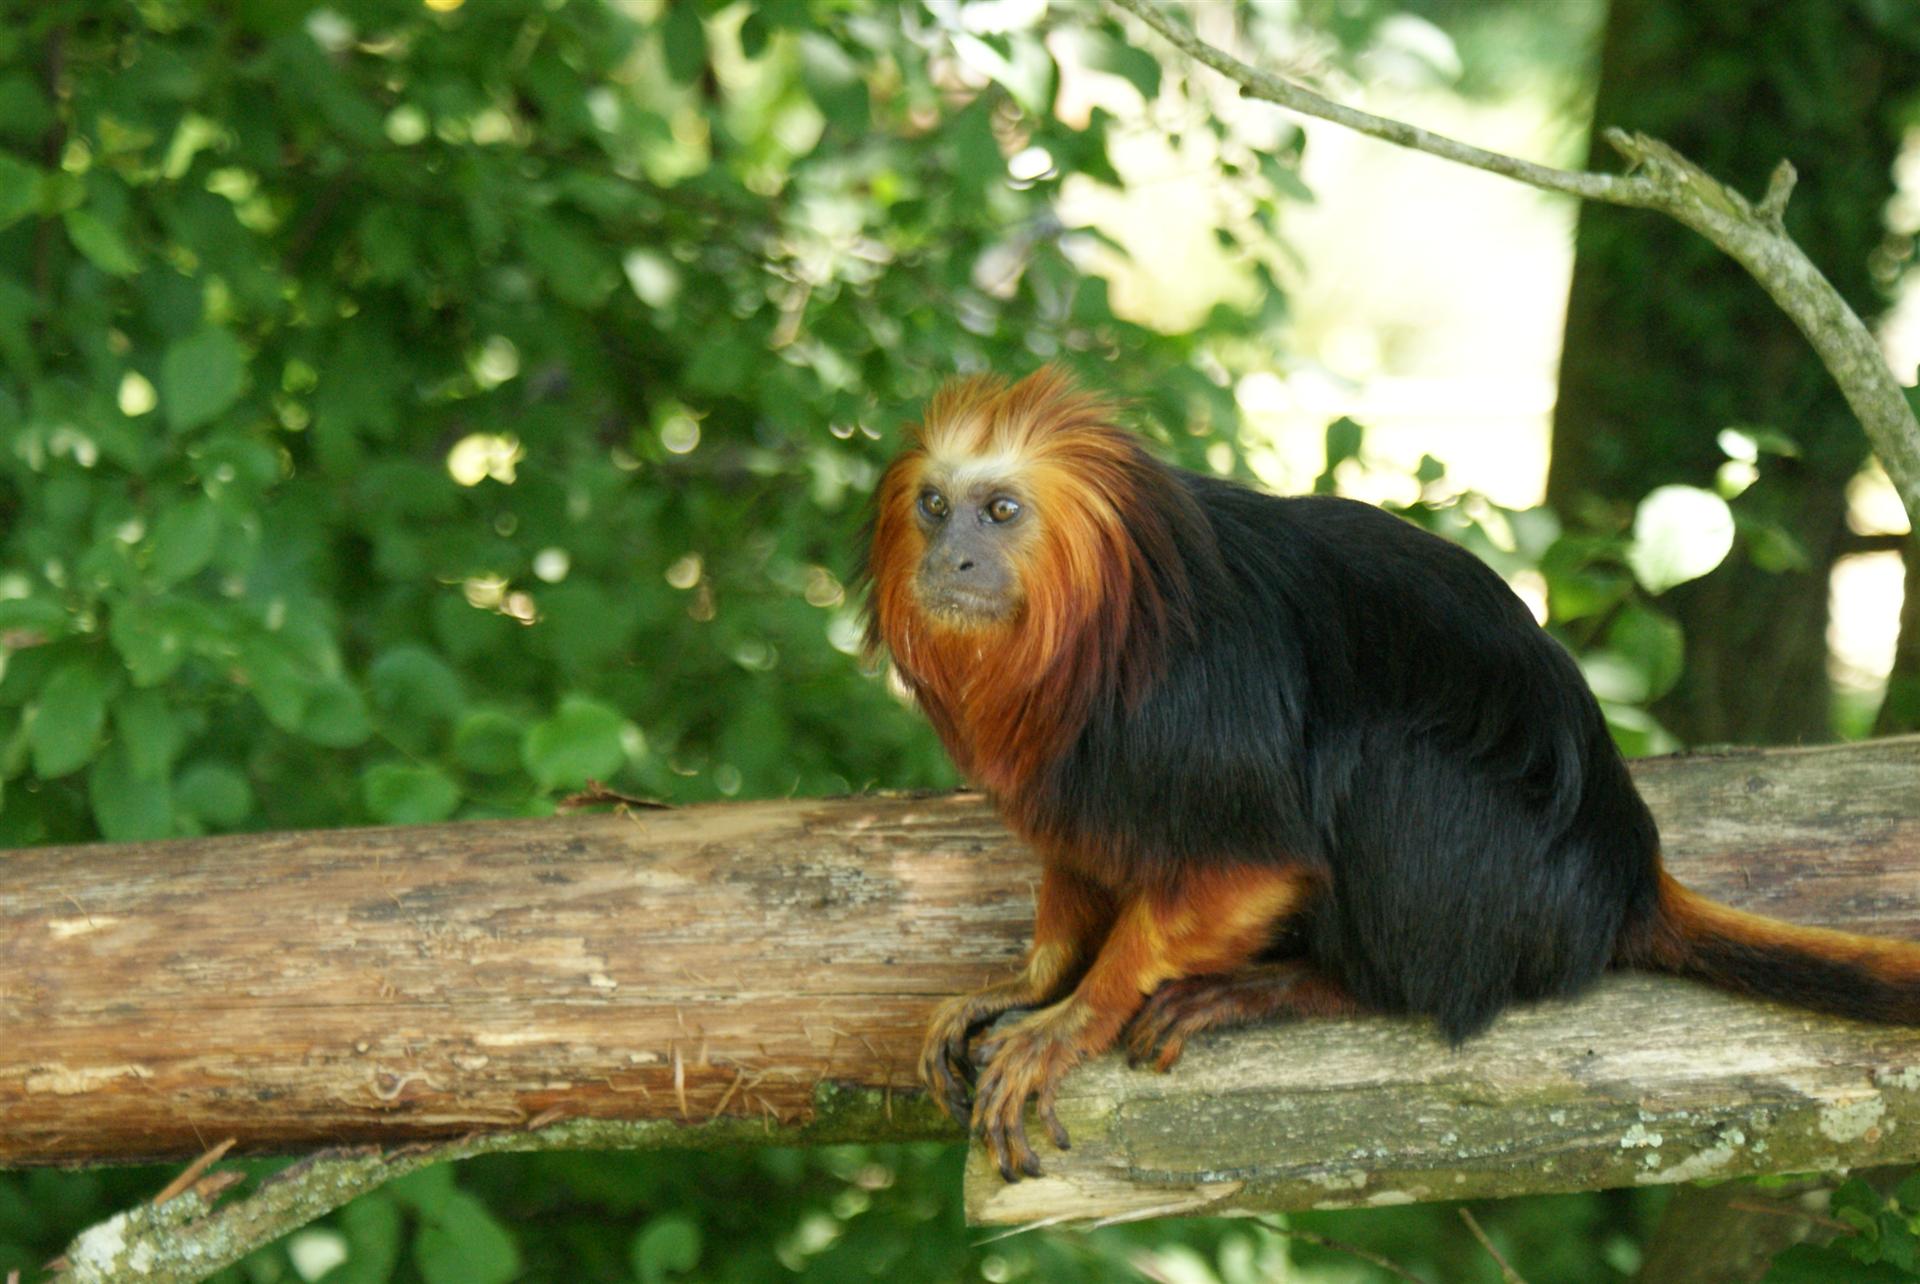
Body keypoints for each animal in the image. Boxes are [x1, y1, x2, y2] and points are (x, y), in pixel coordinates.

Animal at [864, 362, 1920, 1182]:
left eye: (1002, 511)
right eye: (935, 506)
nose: (952, 560)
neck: (1095, 629)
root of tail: (1623, 876)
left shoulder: (1197, 718)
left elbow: (1250, 867)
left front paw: (1076, 1014)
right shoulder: (1077, 773)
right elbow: (1079, 863)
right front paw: (1029, 980)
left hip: (1499, 878)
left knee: (1383, 772)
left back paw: (1291, 987)